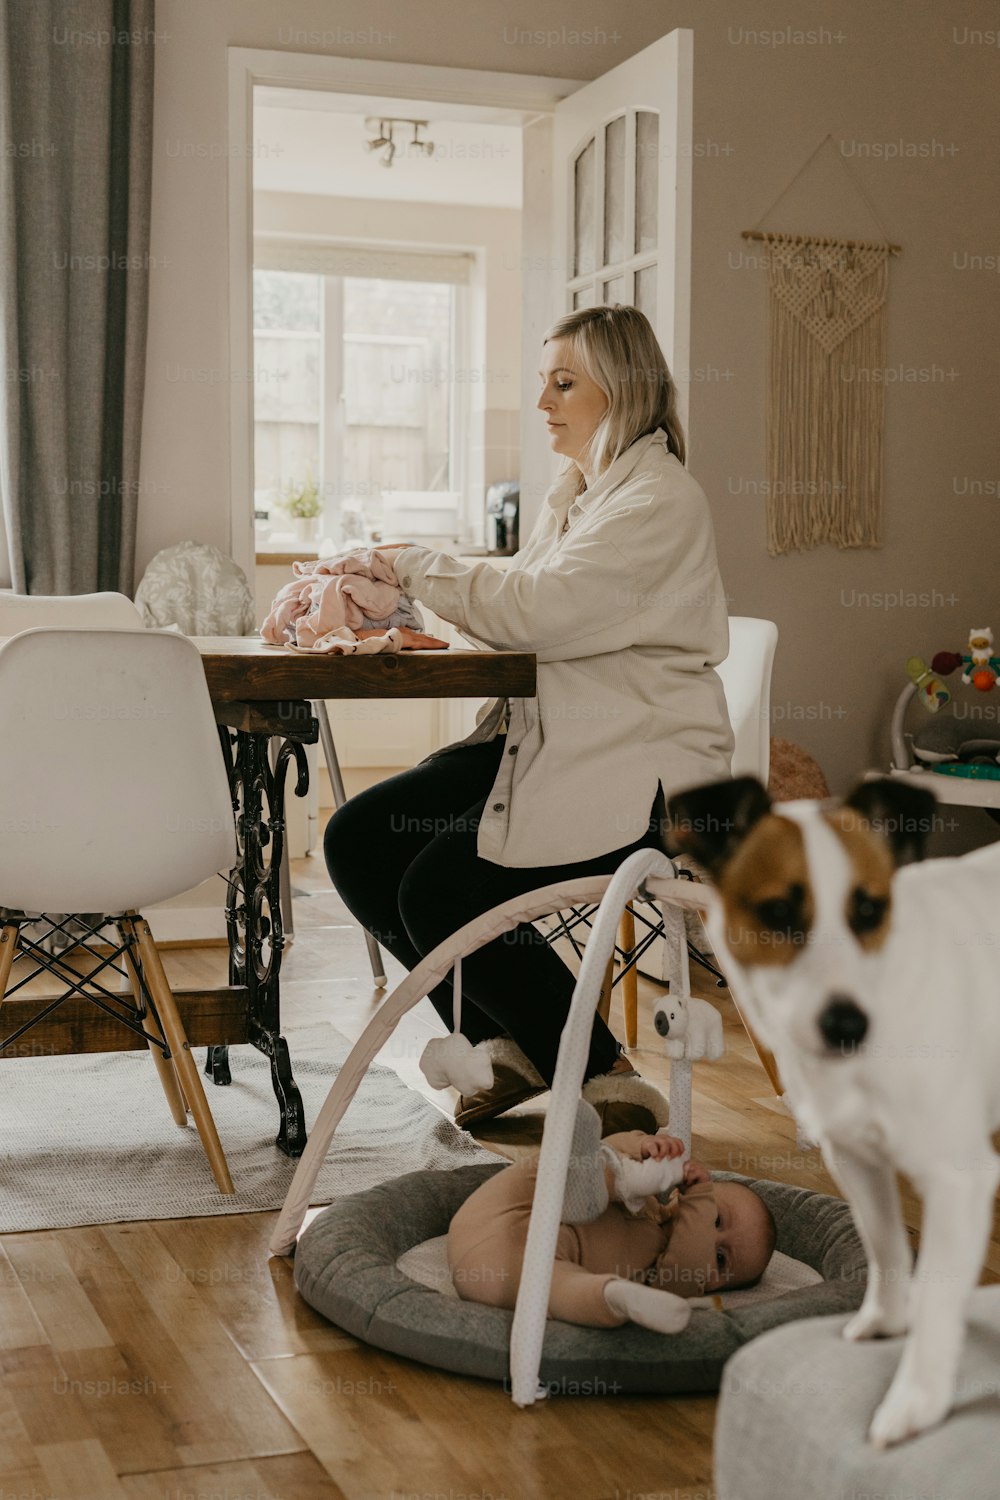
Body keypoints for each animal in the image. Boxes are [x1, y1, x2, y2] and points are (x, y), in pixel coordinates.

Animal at [665, 774, 1000, 1440]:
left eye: (869, 910)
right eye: (777, 912)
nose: (848, 1025)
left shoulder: (959, 1178)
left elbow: (940, 1296)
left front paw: (916, 1400)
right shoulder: (855, 1160)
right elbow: (887, 1245)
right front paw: (886, 1320)